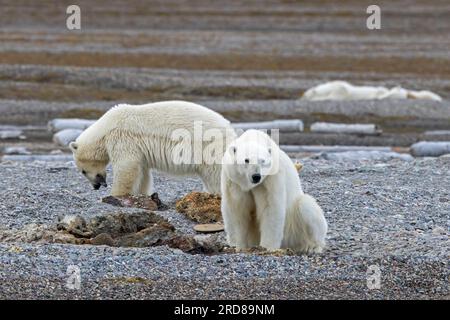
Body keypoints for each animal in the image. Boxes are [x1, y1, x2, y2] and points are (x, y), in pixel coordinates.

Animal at [69, 100, 236, 195]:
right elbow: (142, 172)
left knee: (216, 175)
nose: (96, 186)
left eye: (83, 171)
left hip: (210, 148)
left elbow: (126, 166)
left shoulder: (122, 138)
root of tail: (231, 132)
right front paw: (141, 194)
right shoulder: (139, 148)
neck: (107, 127)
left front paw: (115, 194)